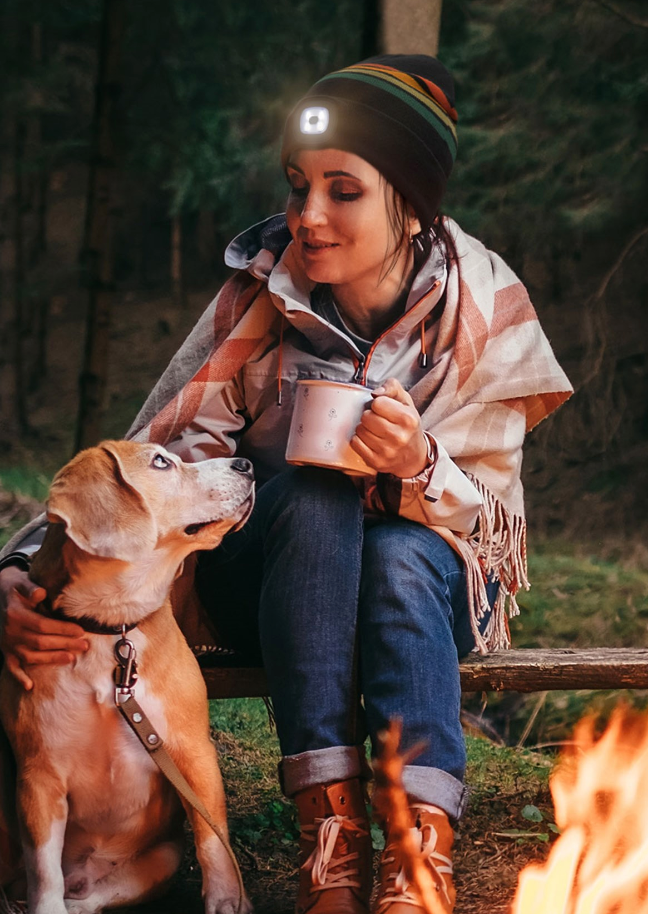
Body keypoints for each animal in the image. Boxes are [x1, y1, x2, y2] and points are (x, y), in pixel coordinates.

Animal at [0, 440, 254, 912]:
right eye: (161, 462)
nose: (246, 464)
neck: (110, 626)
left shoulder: (193, 754)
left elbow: (213, 842)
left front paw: (228, 901)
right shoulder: (38, 779)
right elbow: (44, 874)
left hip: (162, 858)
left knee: (90, 901)